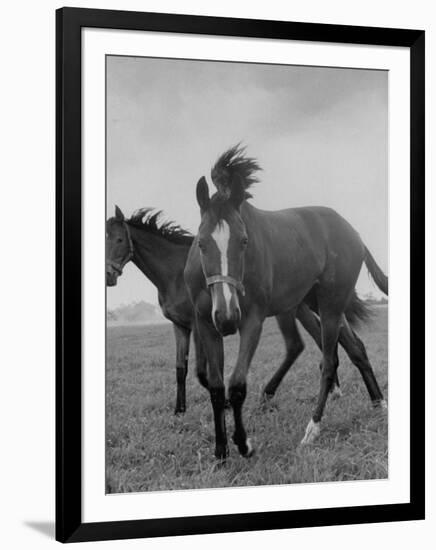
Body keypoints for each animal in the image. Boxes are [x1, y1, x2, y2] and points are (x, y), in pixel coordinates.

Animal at [105, 206, 368, 414]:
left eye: (119, 240)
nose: (109, 275)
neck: (175, 273)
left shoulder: (200, 325)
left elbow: (202, 372)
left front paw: (226, 404)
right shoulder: (180, 326)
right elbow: (181, 368)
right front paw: (180, 410)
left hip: (305, 308)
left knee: (320, 343)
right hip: (304, 308)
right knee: (330, 343)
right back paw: (339, 392)